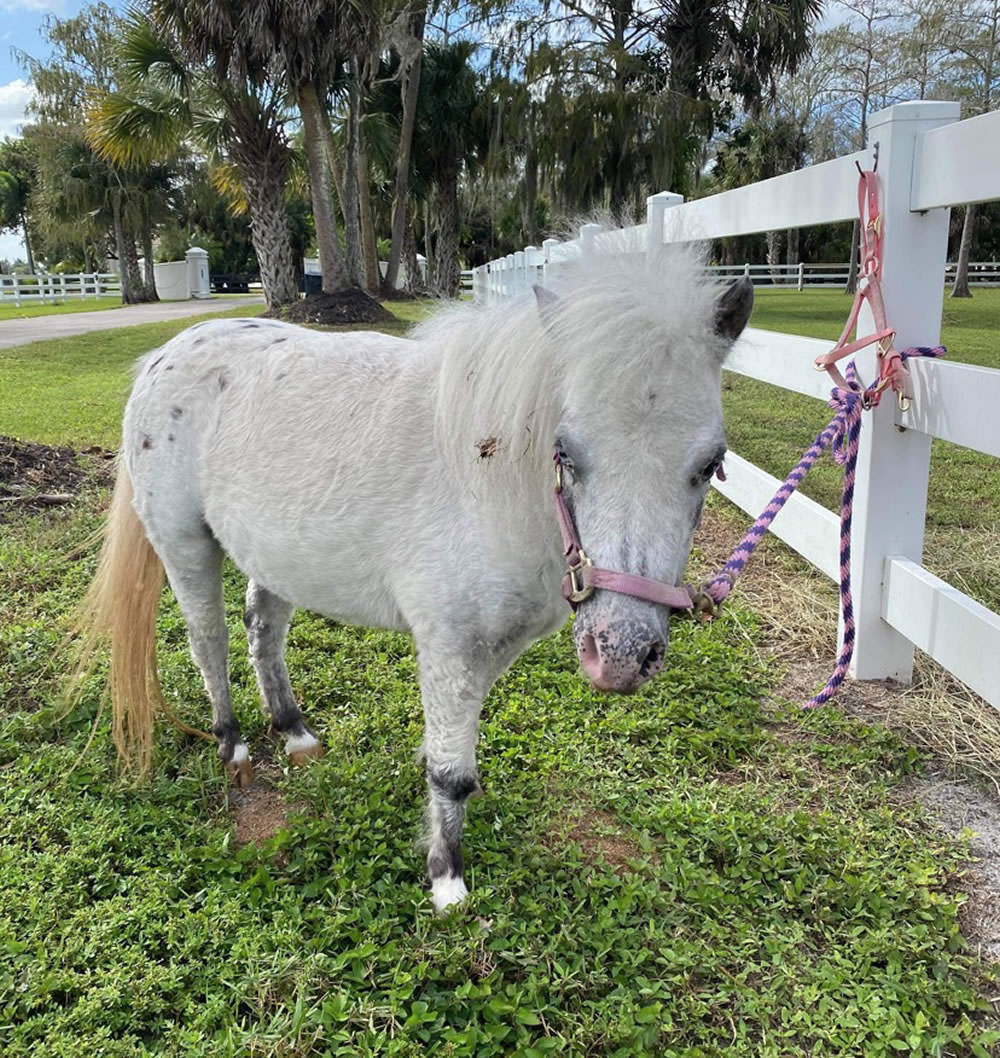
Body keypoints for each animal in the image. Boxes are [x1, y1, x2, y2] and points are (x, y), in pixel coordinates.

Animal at [78, 251, 749, 914]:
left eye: (711, 465)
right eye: (565, 453)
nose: (621, 655)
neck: (492, 481)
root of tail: (166, 355)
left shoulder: (489, 648)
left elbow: (449, 747)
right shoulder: (450, 643)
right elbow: (452, 774)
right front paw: (446, 880)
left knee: (262, 633)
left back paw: (294, 732)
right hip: (184, 543)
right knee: (209, 642)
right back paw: (232, 745)